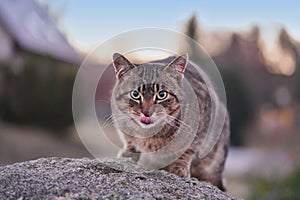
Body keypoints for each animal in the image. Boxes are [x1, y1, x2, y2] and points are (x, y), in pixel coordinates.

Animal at [111, 52, 231, 191]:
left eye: (162, 94)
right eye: (135, 94)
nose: (147, 112)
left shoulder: (203, 122)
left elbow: (189, 149)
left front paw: (179, 166)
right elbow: (129, 140)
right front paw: (128, 154)